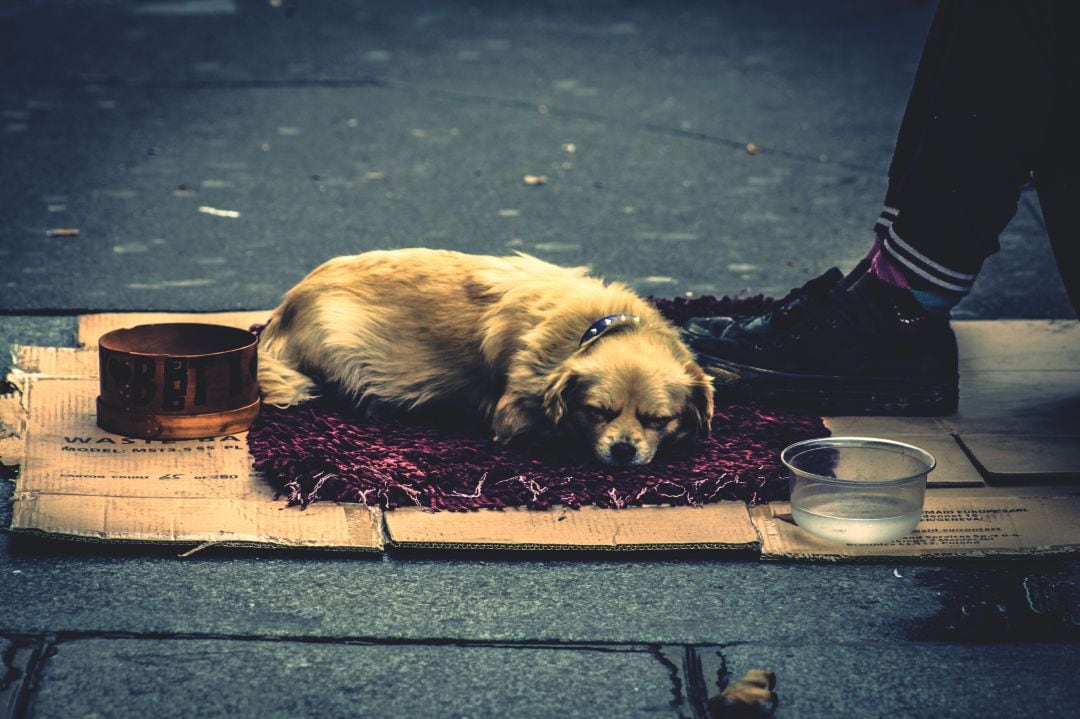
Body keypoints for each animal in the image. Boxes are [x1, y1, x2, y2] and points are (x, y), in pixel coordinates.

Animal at [259, 249, 717, 468]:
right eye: (597, 412)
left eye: (657, 420)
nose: (623, 450)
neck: (596, 324)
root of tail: (284, 309)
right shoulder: (511, 417)